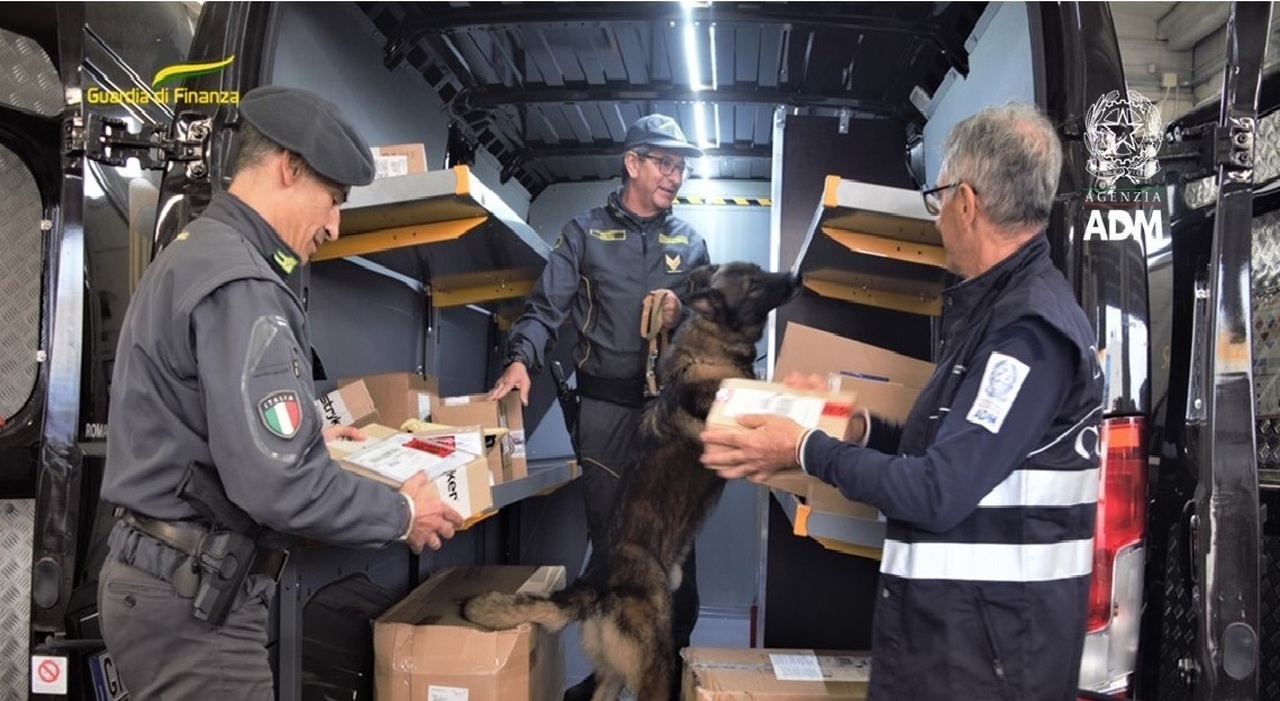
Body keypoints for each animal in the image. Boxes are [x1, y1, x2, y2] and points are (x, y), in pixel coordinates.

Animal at [460, 263, 798, 701]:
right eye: (755, 284)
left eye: (761, 273)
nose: (794, 277)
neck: (711, 348)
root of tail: (595, 581)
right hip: (656, 666)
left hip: (614, 675)